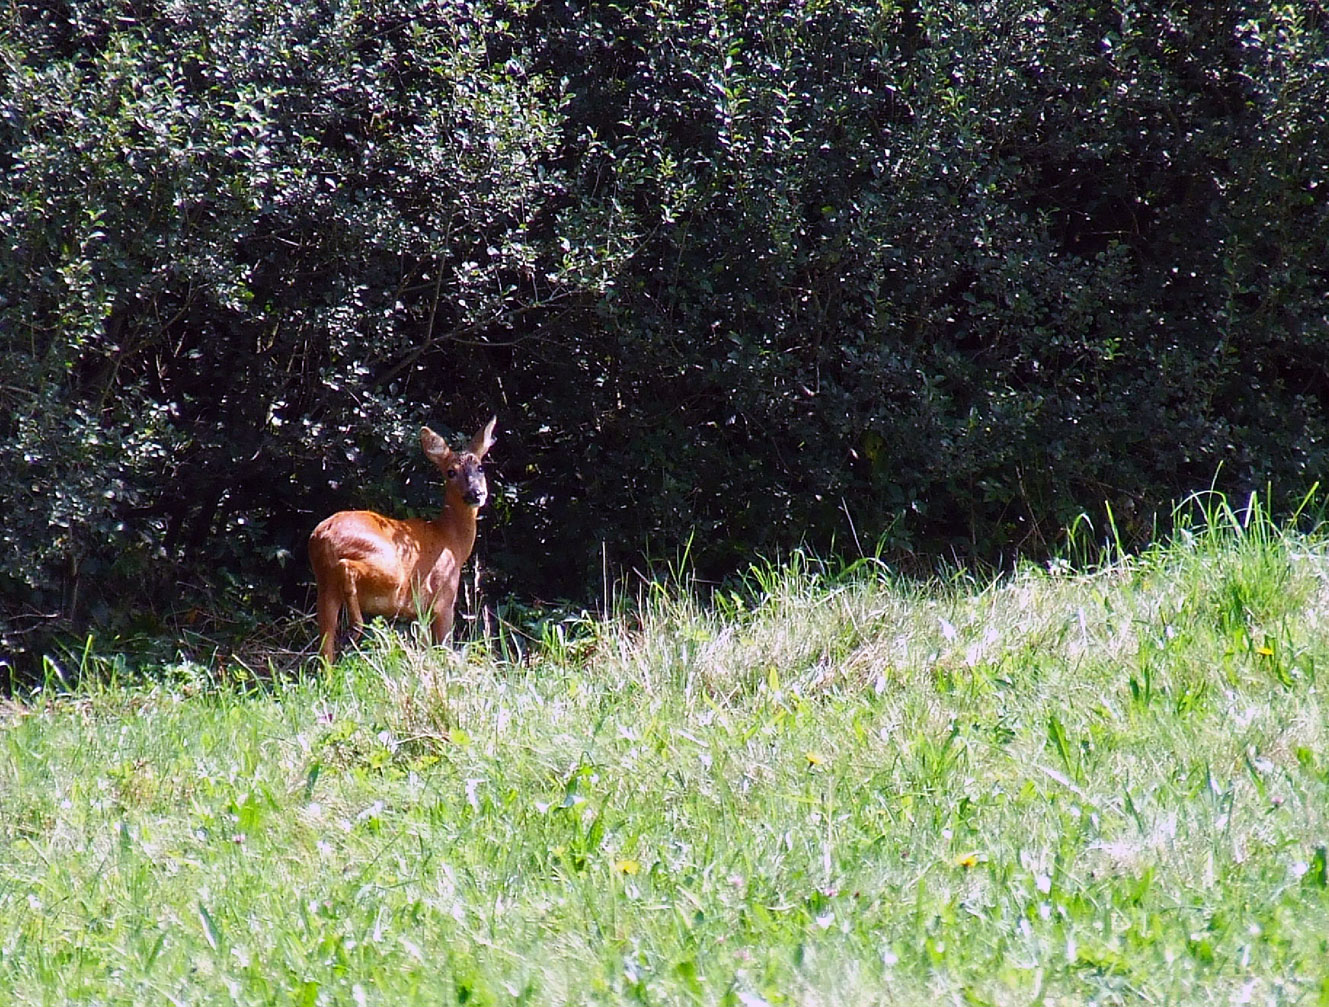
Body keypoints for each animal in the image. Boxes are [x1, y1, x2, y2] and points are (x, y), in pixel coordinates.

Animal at [309, 417, 497, 662]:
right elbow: (444, 648)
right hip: (388, 566)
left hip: (324, 585)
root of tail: (323, 536)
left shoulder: (420, 612)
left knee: (325, 645)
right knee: (347, 568)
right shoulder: (443, 598)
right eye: (450, 472)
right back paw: (356, 626)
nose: (475, 493)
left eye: (480, 467)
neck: (451, 541)